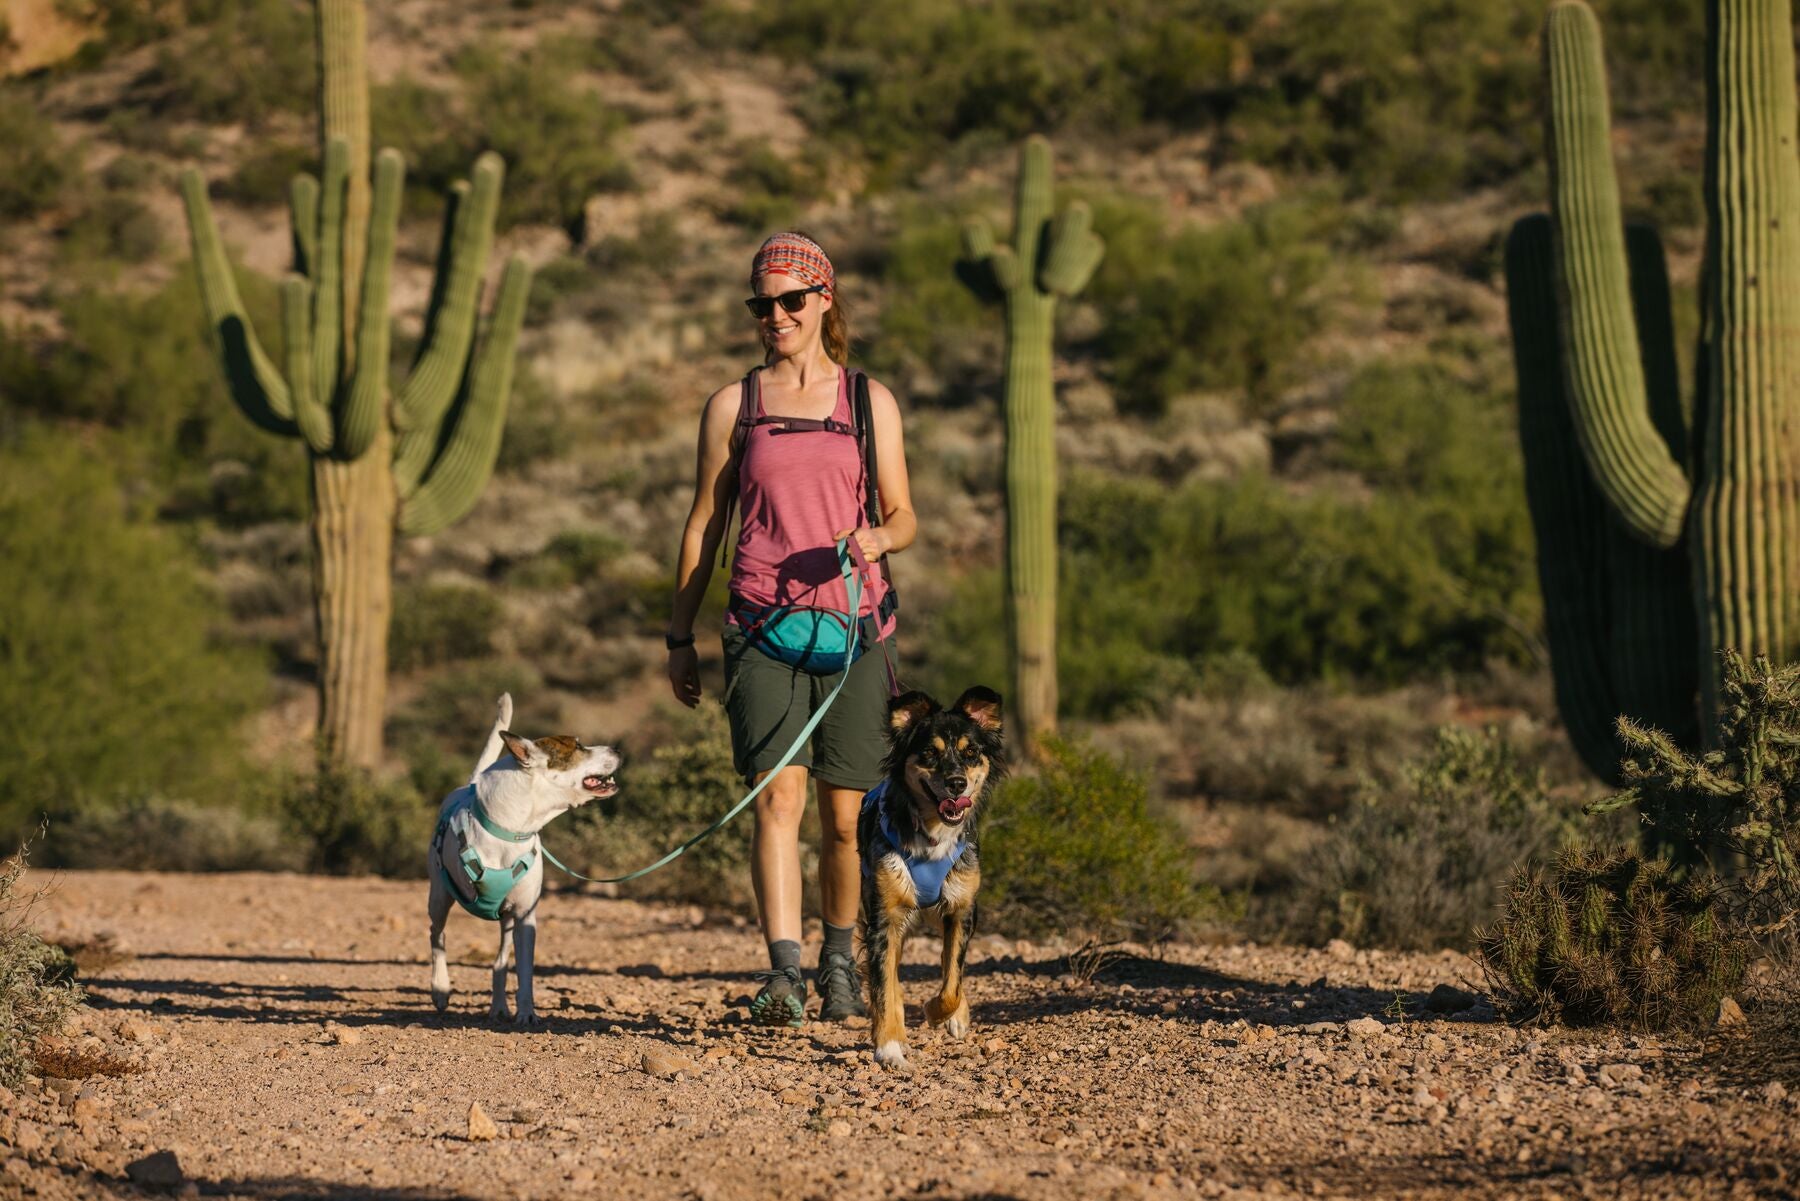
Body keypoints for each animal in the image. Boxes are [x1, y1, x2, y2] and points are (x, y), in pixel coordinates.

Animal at [426, 695, 619, 1022]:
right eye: (577, 745)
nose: (617, 749)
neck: (511, 830)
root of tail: (467, 784)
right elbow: (440, 943)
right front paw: (441, 988)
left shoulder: (525, 915)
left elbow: (525, 971)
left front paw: (527, 1013)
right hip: (439, 897)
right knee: (436, 935)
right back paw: (440, 989)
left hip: (506, 917)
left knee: (500, 961)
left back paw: (499, 1005)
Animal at [853, 684, 1000, 1073]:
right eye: (929, 753)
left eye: (971, 752)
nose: (956, 783)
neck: (933, 834)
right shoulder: (883, 918)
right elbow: (884, 986)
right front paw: (889, 1046)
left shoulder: (962, 910)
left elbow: (952, 981)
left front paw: (941, 1012)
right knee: (890, 977)